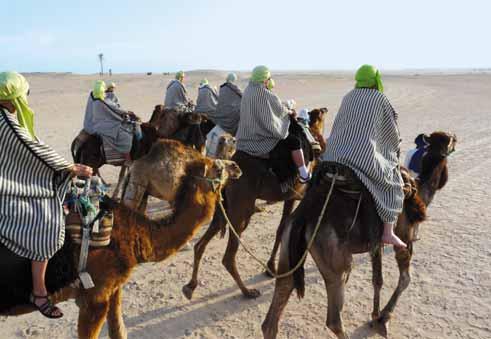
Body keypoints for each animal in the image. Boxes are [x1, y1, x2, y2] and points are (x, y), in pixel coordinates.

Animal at [0, 139, 242, 338]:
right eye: (216, 166)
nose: (236, 167)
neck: (133, 235)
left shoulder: (113, 288)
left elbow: (119, 331)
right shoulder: (94, 297)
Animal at [183, 108, 328, 300]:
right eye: (321, 113)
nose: (326, 109)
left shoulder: (289, 197)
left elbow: (281, 228)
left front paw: (270, 268)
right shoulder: (293, 196)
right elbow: (283, 228)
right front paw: (272, 268)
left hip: (223, 210)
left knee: (200, 245)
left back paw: (190, 286)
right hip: (241, 210)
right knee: (228, 256)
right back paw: (248, 291)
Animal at [262, 131, 458, 339]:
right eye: (450, 140)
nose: (456, 138)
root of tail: (301, 218)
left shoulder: (376, 242)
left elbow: (377, 280)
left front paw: (375, 316)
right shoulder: (403, 235)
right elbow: (405, 279)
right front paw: (384, 316)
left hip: (289, 251)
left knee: (274, 310)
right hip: (336, 263)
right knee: (333, 319)